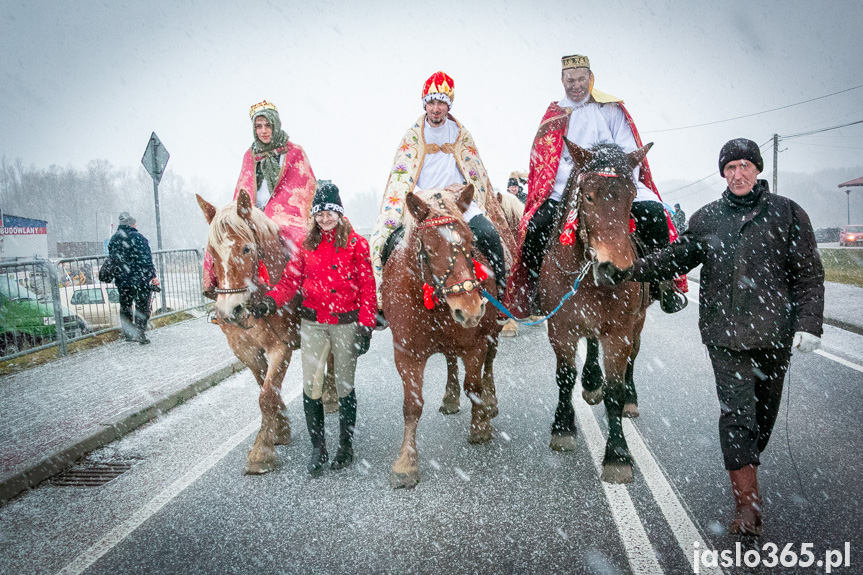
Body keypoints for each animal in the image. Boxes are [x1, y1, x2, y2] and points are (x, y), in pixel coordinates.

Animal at [197, 191, 300, 474]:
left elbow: (267, 395)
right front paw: (279, 431)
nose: (228, 310)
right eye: (211, 252)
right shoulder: (245, 350)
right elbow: (265, 388)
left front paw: (261, 452)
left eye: (246, 248)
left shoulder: (281, 347)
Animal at [384, 186, 500, 490]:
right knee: (449, 359)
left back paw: (490, 402)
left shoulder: (476, 343)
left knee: (489, 364)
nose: (470, 309)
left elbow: (474, 387)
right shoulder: (406, 353)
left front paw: (480, 426)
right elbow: (412, 406)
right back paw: (450, 397)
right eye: (430, 248)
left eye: (471, 241)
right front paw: (406, 463)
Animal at [544, 140, 660, 482]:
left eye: (631, 196)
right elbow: (565, 377)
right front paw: (563, 428)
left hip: (638, 322)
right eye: (589, 195)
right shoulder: (561, 328)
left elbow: (614, 390)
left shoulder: (619, 333)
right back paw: (591, 380)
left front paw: (617, 455)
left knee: (634, 356)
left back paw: (630, 400)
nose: (615, 270)